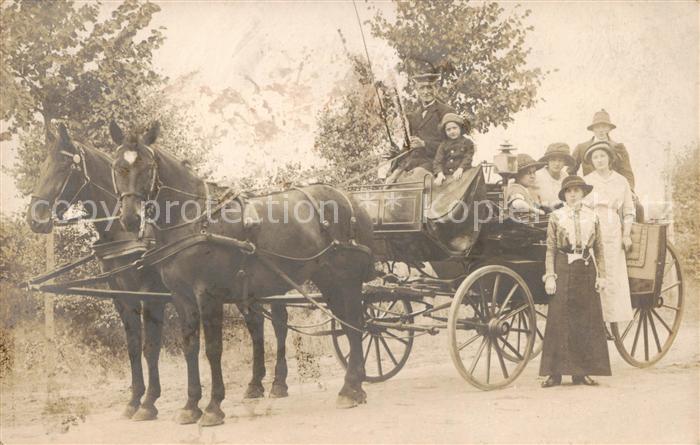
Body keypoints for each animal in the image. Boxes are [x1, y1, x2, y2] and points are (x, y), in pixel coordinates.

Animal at [109, 121, 374, 426]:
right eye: (118, 166)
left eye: (147, 167)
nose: (130, 218)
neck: (194, 219)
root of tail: (349, 198)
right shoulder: (181, 297)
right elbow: (191, 347)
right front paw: (190, 406)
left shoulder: (208, 294)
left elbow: (213, 349)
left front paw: (213, 407)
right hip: (328, 280)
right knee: (348, 324)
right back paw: (355, 386)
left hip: (346, 279)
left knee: (354, 323)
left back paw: (350, 388)